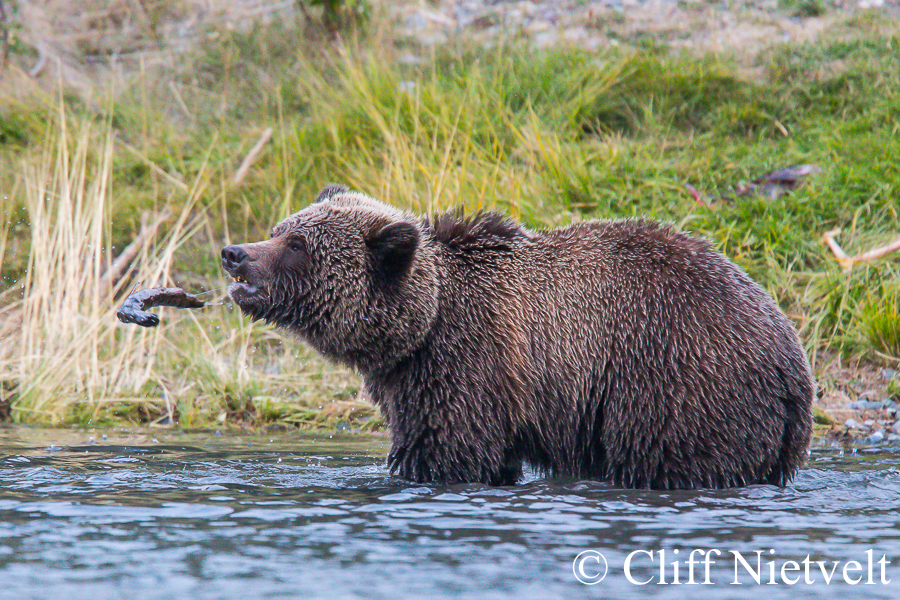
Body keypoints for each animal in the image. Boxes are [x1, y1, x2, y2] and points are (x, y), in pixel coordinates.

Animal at [223, 185, 816, 490]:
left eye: (297, 244)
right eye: (279, 229)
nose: (234, 252)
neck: (421, 326)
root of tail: (793, 363)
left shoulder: (468, 364)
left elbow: (448, 452)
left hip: (676, 386)